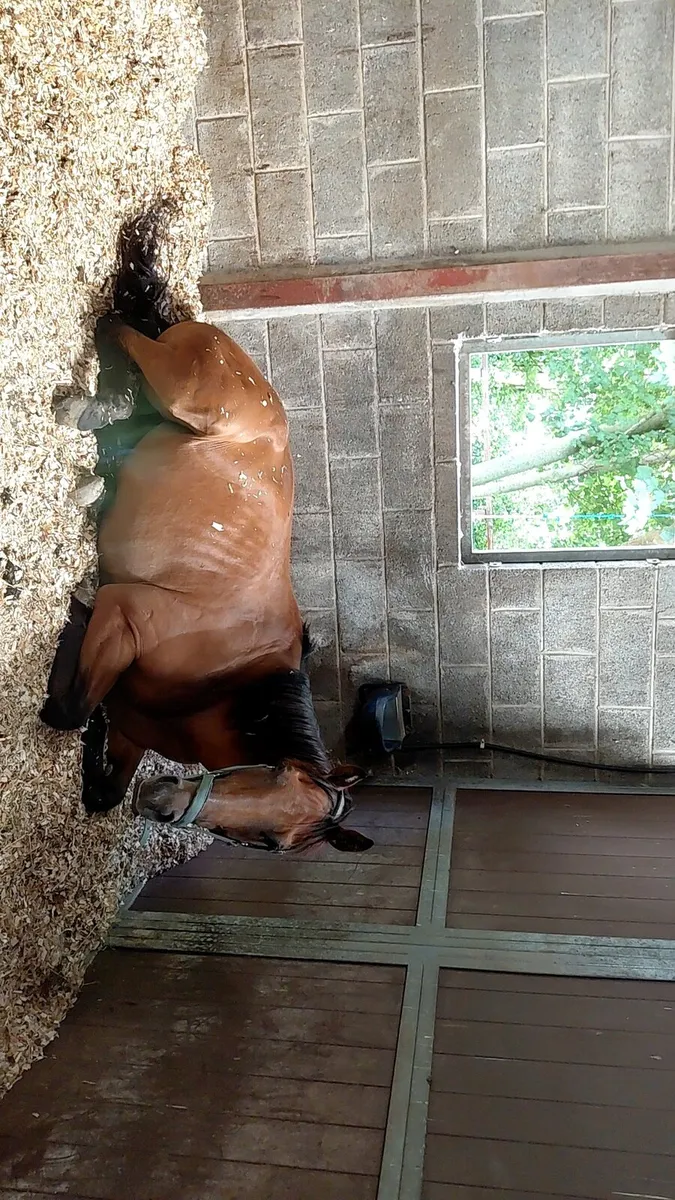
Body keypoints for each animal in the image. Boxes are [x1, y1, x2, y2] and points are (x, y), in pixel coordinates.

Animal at [41, 211, 372, 856]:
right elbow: (68, 709)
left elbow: (100, 782)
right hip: (180, 387)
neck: (221, 684)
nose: (161, 804)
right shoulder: (124, 617)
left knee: (125, 379)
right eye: (272, 772)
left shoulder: (132, 732)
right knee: (121, 330)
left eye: (274, 844)